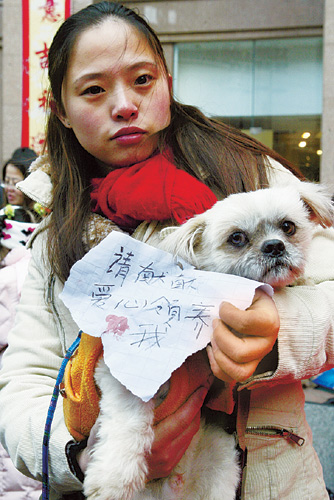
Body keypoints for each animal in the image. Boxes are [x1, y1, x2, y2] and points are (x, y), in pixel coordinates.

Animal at [83, 182, 334, 498]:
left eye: (288, 227)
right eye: (237, 238)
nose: (274, 246)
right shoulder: (129, 369)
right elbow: (129, 418)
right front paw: (114, 477)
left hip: (222, 467)